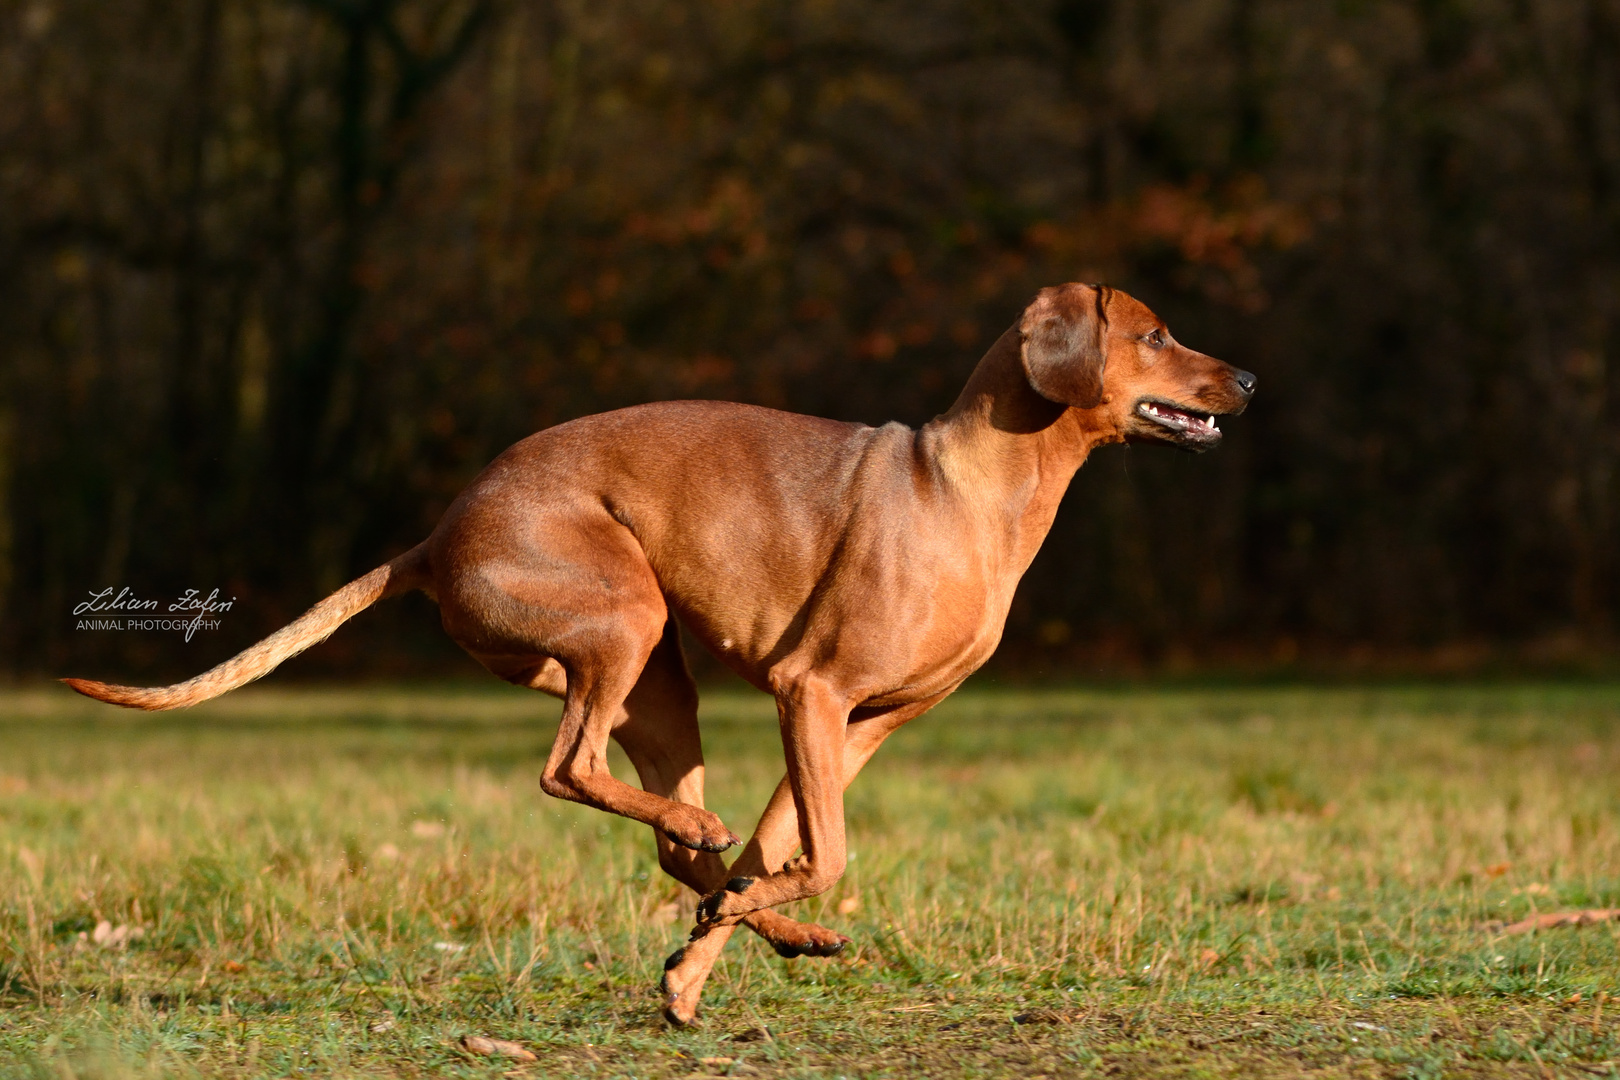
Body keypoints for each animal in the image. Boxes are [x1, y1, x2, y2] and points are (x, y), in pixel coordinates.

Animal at [63, 283, 1250, 1029]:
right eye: (1156, 333)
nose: (1244, 380)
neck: (971, 487)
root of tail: (436, 538)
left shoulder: (862, 728)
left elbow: (781, 848)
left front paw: (702, 967)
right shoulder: (812, 694)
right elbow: (824, 852)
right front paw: (736, 932)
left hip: (656, 684)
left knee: (679, 840)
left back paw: (741, 900)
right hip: (625, 622)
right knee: (572, 773)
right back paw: (713, 862)